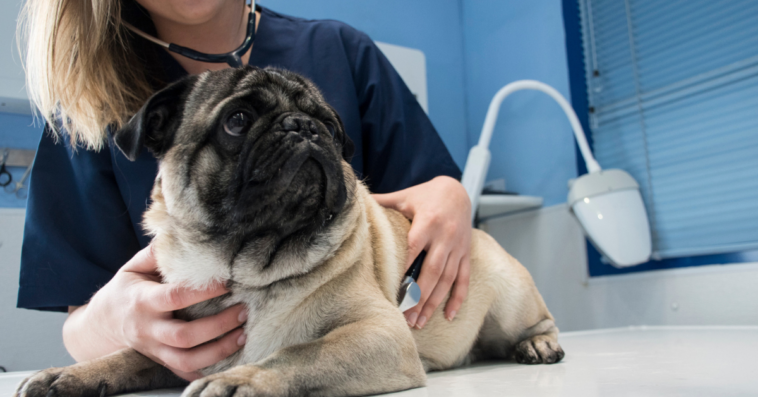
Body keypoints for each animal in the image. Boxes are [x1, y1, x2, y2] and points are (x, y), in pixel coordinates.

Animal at [13, 66, 564, 396]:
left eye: (331, 127)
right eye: (237, 120)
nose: (303, 126)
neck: (244, 268)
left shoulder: (379, 333)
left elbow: (299, 353)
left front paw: (239, 381)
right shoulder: (176, 348)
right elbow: (130, 353)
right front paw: (71, 375)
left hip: (511, 295)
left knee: (534, 321)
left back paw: (537, 345)